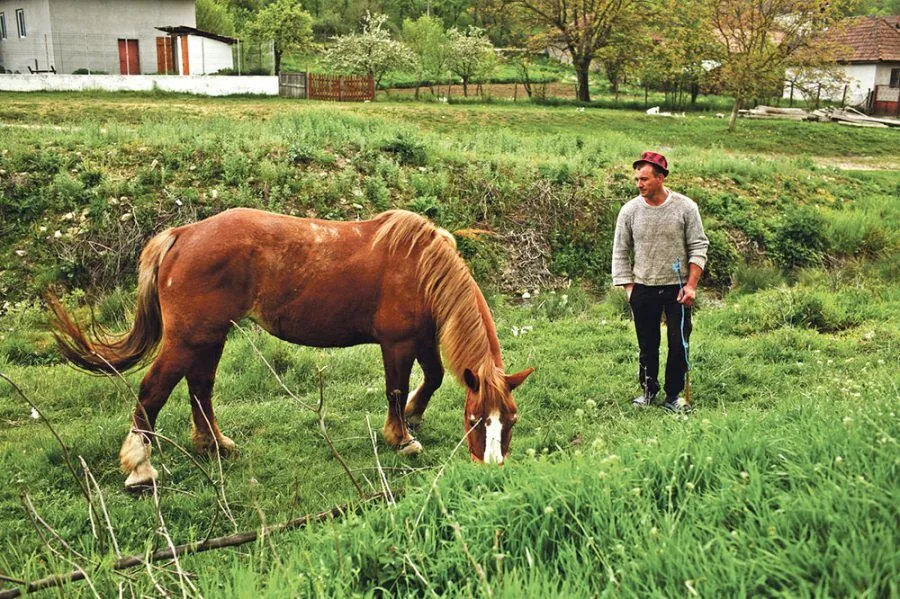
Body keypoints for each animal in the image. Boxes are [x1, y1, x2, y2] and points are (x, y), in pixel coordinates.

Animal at [49, 208, 534, 490]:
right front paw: (402, 438)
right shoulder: (397, 344)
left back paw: (215, 445)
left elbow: (430, 378)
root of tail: (183, 234)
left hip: (209, 337)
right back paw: (140, 468)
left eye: (509, 420)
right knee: (154, 391)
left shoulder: (422, 339)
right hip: (188, 338)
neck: (420, 265)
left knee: (200, 388)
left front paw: (414, 416)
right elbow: (395, 390)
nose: (492, 466)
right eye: (474, 421)